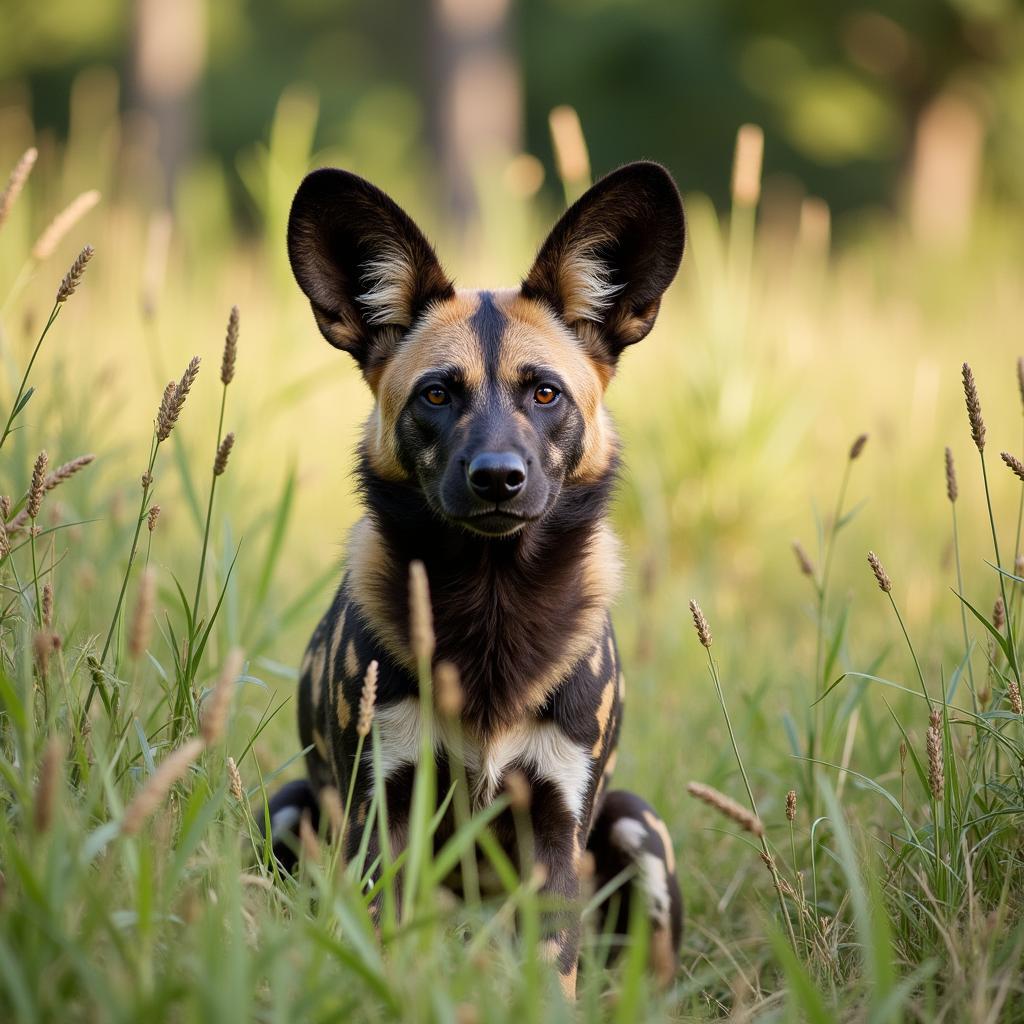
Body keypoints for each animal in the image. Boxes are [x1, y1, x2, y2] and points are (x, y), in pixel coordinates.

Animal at [272, 161, 688, 999]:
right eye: (437, 394)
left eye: (545, 393)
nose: (498, 477)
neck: (494, 603)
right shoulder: (384, 816)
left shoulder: (556, 827)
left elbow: (553, 975)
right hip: (290, 808)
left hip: (634, 825)